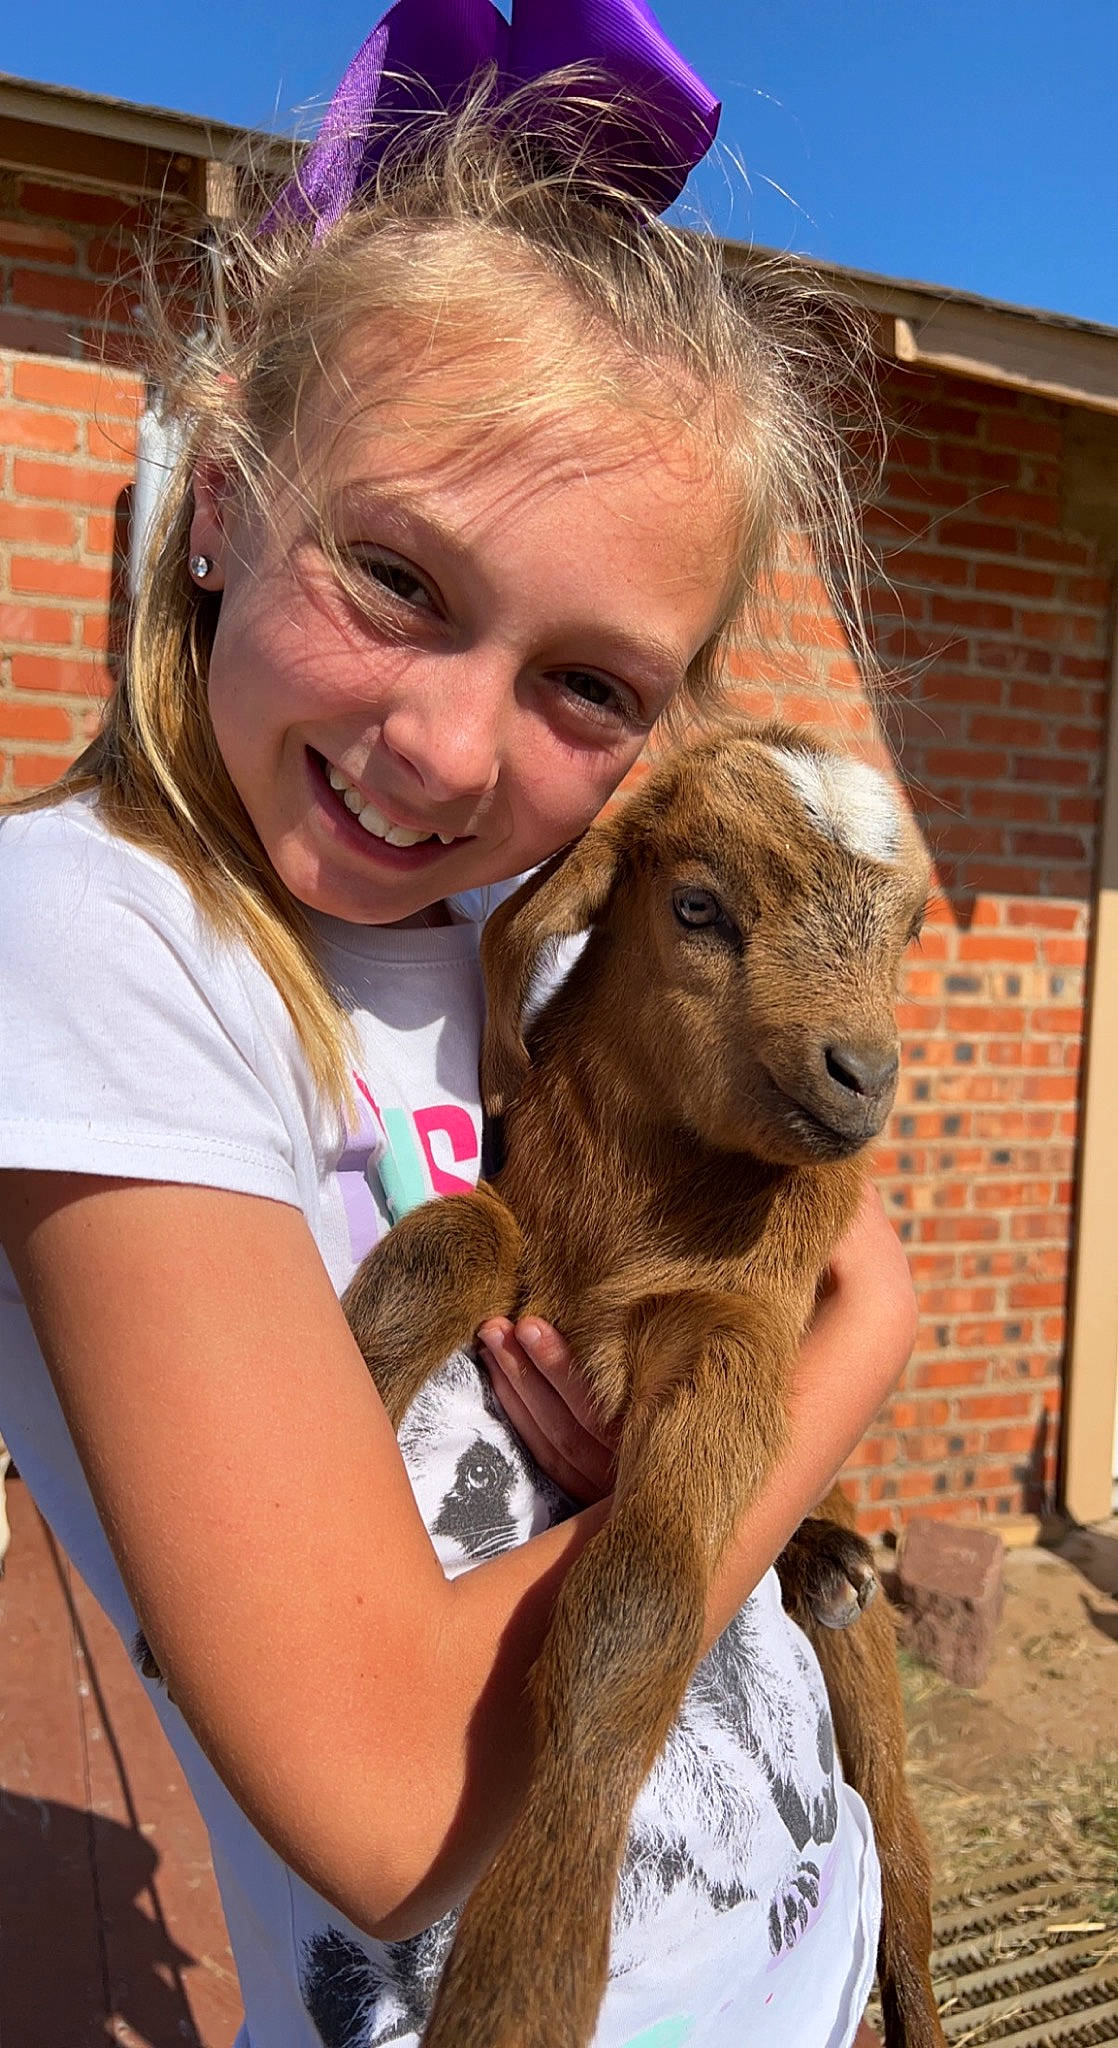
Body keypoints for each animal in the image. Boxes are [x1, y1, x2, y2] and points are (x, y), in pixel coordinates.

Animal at [341, 718, 943, 2048]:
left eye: (908, 931)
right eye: (697, 905)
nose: (861, 1074)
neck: (641, 1199)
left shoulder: (728, 1338)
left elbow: (636, 1609)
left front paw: (527, 1958)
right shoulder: (521, 1222)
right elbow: (455, 1237)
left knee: (907, 1881)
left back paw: (831, 1564)